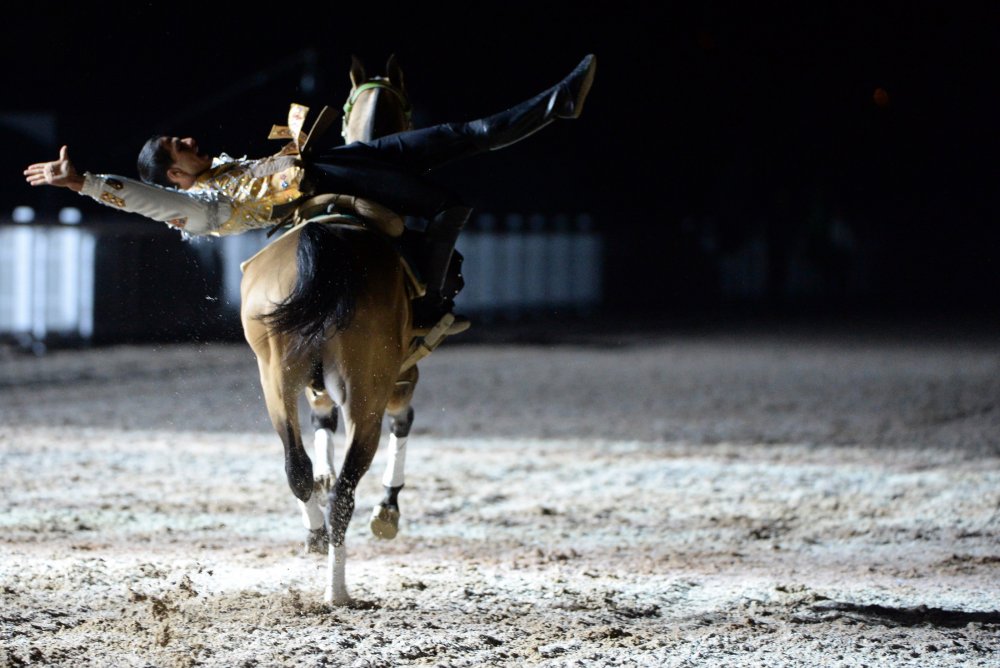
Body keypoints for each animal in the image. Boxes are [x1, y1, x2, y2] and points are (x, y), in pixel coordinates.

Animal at [240, 55, 430, 605]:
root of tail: (328, 246)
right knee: (348, 488)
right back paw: (338, 590)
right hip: (369, 390)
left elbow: (318, 431)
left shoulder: (311, 380)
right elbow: (403, 422)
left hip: (275, 377)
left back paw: (317, 536)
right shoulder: (403, 371)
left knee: (296, 468)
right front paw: (388, 509)